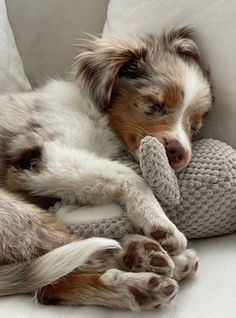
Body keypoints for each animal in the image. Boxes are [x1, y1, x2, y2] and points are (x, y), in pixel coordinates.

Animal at [0, 27, 212, 310]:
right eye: (155, 104)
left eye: (194, 126)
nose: (179, 153)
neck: (93, 114)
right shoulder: (41, 157)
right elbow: (128, 174)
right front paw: (160, 223)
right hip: (16, 215)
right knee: (75, 260)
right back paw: (152, 267)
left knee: (53, 285)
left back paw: (141, 273)